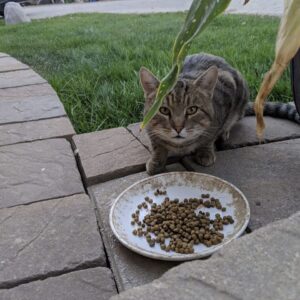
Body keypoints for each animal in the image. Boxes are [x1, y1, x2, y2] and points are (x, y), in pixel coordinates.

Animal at [140, 52, 300, 175]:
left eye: (192, 109)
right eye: (164, 110)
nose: (178, 127)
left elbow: (209, 137)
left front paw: (205, 152)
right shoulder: (148, 126)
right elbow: (157, 145)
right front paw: (156, 161)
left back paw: (225, 132)